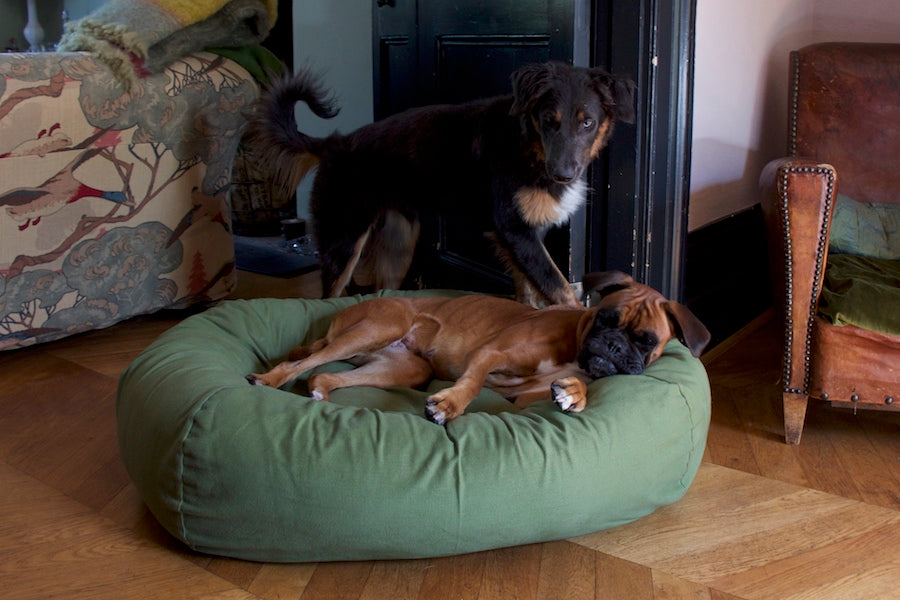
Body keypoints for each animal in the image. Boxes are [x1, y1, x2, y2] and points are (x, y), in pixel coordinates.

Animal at [246, 270, 712, 424]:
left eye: (646, 341)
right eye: (606, 318)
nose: (613, 345)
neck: (574, 345)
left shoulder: (522, 398)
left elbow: (572, 388)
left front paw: (574, 394)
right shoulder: (489, 357)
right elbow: (470, 384)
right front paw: (449, 405)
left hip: (403, 368)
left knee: (324, 373)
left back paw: (320, 393)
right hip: (379, 326)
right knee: (303, 362)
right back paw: (266, 379)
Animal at [250, 62, 636, 304]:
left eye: (587, 123)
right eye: (547, 119)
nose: (563, 174)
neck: (526, 144)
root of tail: (333, 144)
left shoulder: (527, 237)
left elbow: (531, 291)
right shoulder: (515, 231)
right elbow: (560, 289)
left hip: (399, 242)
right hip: (342, 240)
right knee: (328, 295)